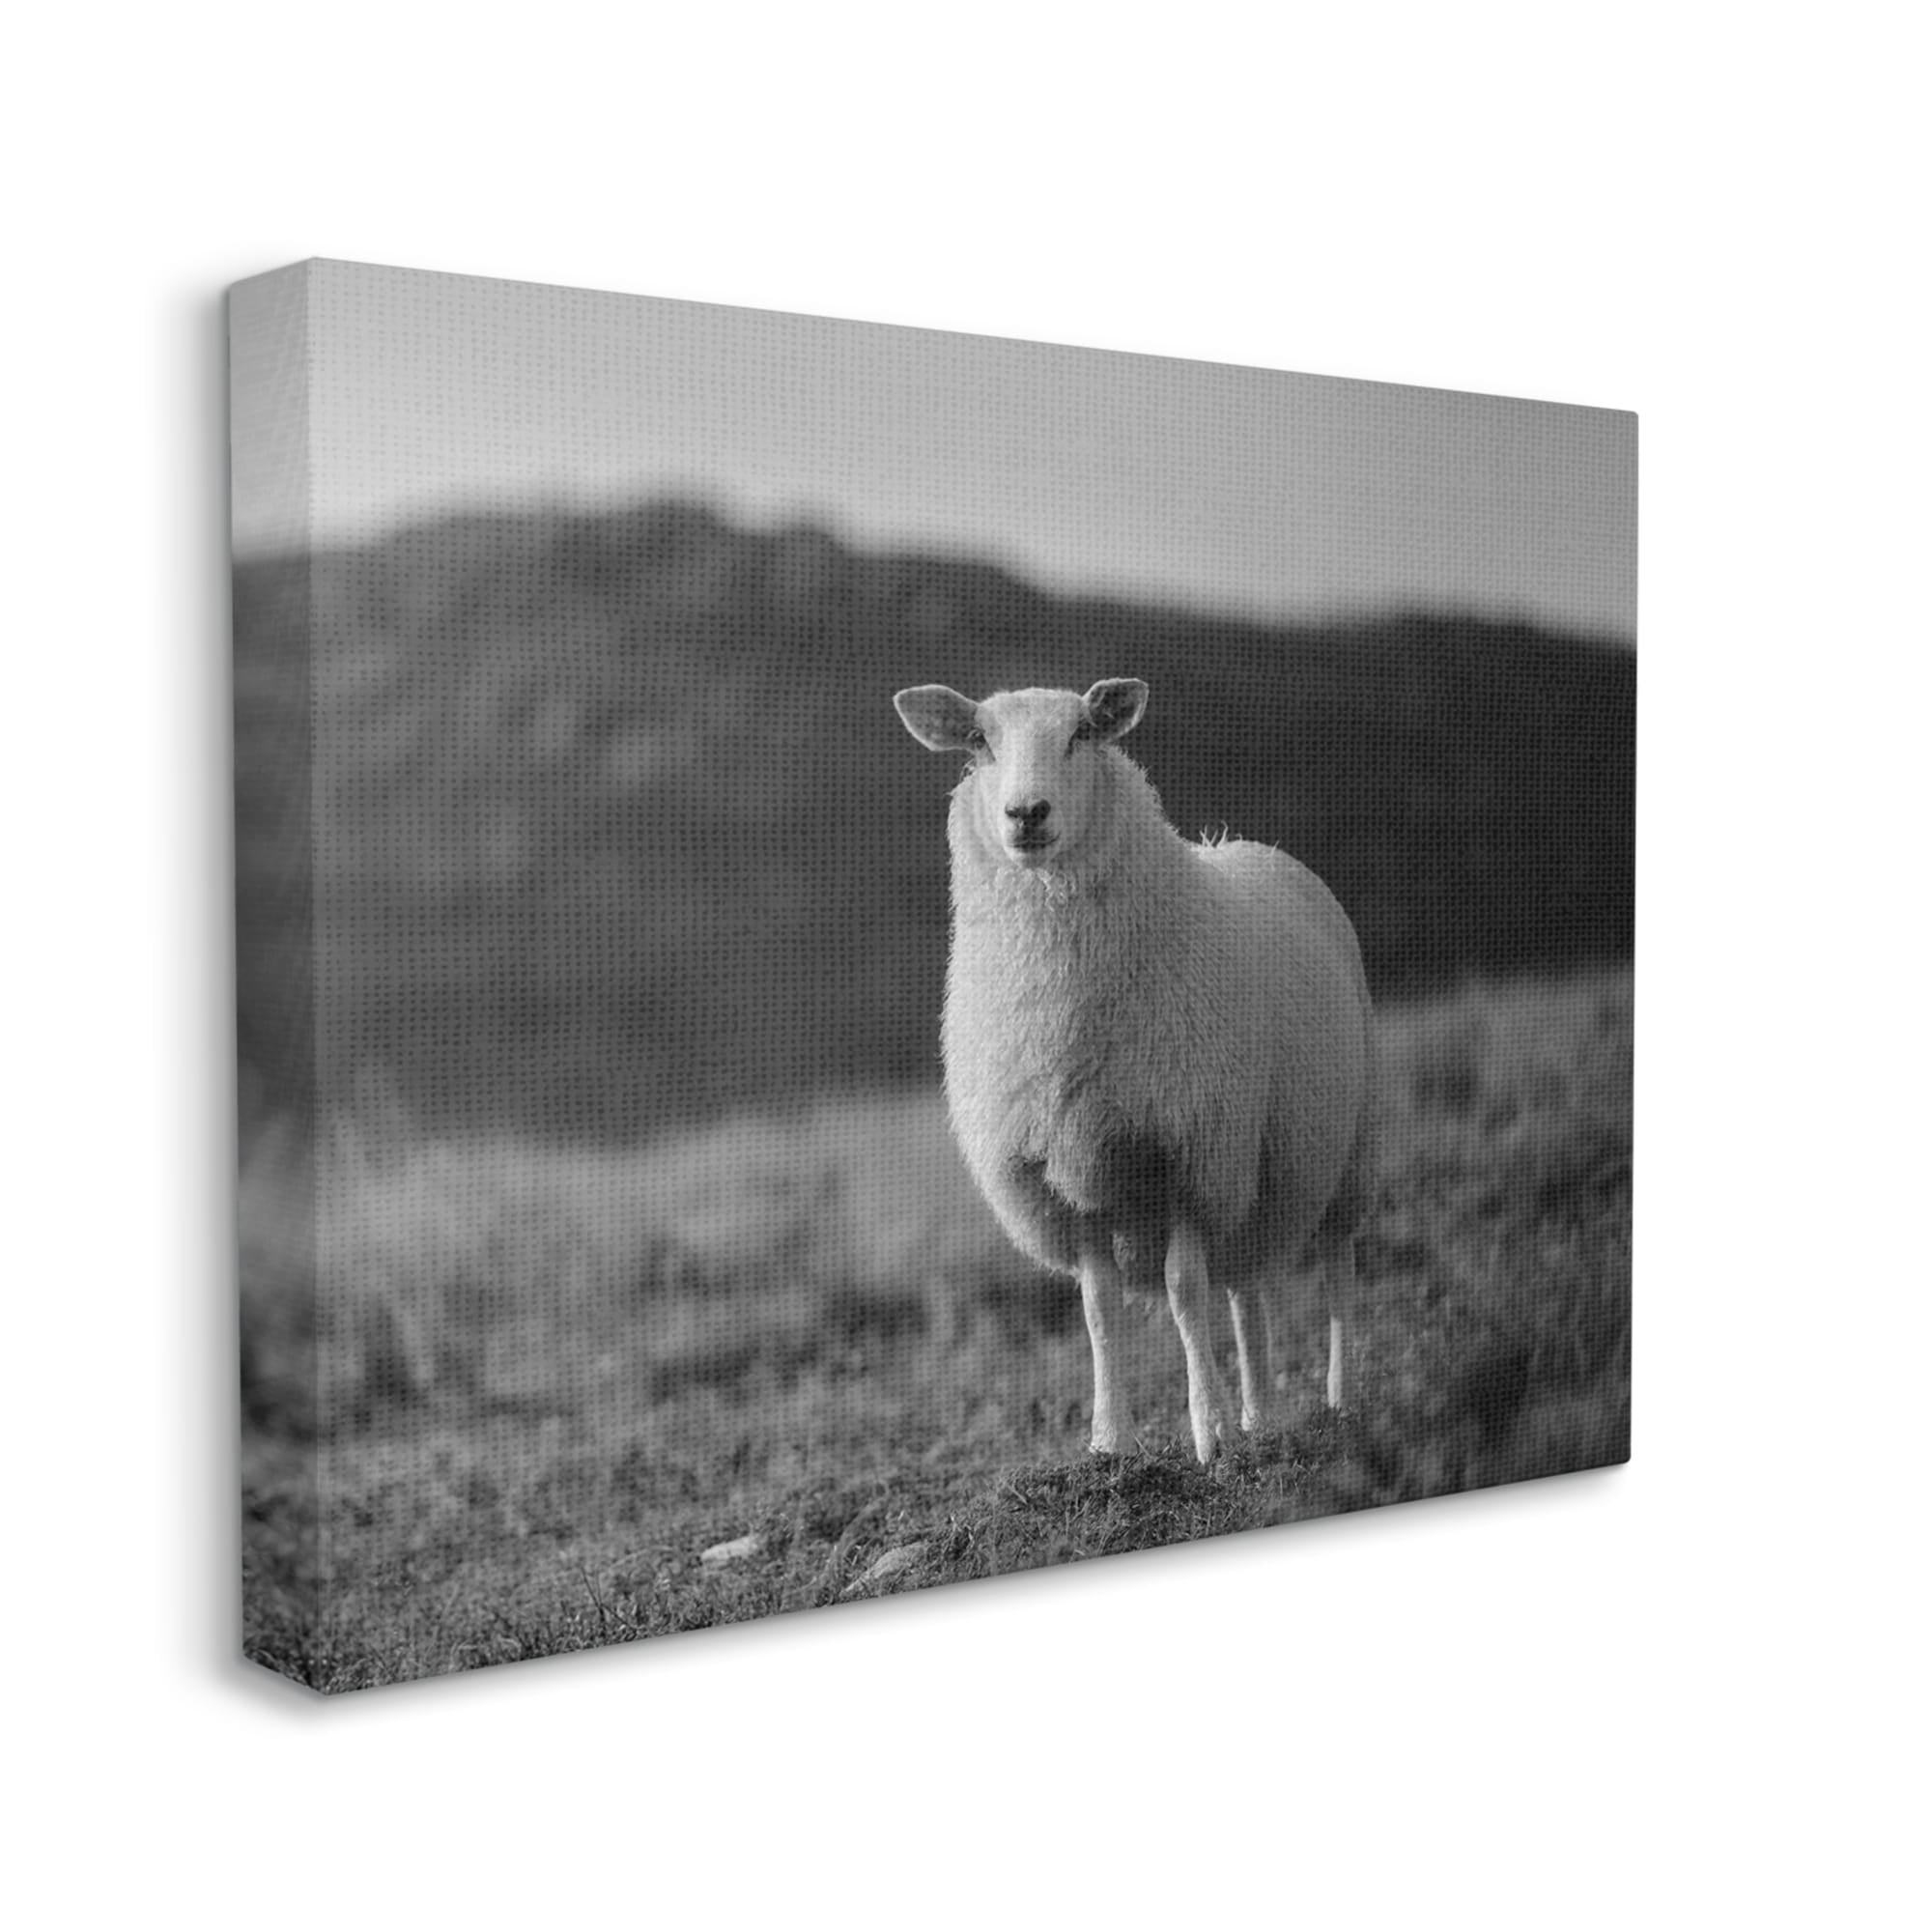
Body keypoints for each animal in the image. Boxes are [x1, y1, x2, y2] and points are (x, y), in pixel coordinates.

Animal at [893, 678, 1377, 1464]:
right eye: (979, 741)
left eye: (1082, 734)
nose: (1026, 813)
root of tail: (1249, 846)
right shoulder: (1065, 1175)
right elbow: (1099, 1311)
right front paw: (1109, 1443)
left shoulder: (1186, 1154)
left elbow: (1183, 1293)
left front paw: (1207, 1436)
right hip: (1248, 1169)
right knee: (1245, 1291)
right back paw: (1260, 1416)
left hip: (1346, 1148)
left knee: (1336, 1266)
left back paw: (1338, 1398)